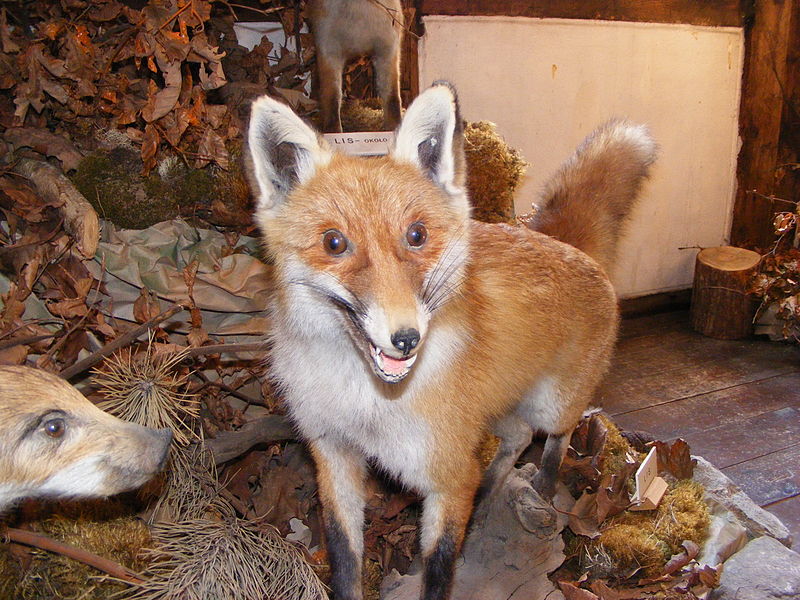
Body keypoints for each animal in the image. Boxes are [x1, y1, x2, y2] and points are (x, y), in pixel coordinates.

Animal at [248, 81, 656, 600]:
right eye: (334, 243)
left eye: (416, 235)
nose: (406, 338)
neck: (369, 402)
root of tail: (567, 245)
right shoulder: (335, 458)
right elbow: (344, 561)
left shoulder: (446, 476)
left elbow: (439, 572)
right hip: (494, 409)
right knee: (515, 438)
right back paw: (485, 500)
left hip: (548, 403)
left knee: (553, 436)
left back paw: (541, 487)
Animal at [308, 0, 406, 132]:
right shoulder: (329, 51)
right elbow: (332, 98)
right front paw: (333, 131)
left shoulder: (387, 51)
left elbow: (392, 98)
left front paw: (395, 128)